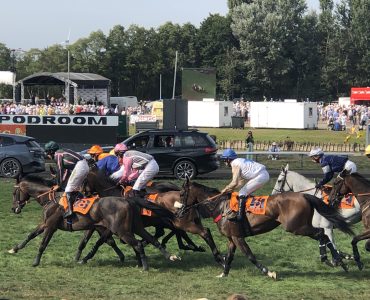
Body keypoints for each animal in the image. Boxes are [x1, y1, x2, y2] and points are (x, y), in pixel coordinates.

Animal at [10, 176, 180, 270]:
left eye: (14, 192)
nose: (13, 208)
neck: (50, 199)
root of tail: (128, 200)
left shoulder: (51, 226)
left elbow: (43, 244)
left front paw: (36, 261)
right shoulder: (45, 224)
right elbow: (31, 235)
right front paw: (14, 249)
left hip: (122, 230)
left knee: (139, 242)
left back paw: (145, 265)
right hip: (135, 227)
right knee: (151, 239)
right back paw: (169, 256)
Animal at [181, 178, 354, 278]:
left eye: (182, 194)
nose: (180, 211)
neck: (220, 206)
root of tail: (303, 195)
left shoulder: (238, 237)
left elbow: (250, 255)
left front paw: (268, 272)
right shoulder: (232, 238)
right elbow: (229, 256)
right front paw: (224, 273)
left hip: (295, 227)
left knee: (321, 233)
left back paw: (330, 259)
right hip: (301, 225)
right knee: (323, 234)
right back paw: (338, 261)